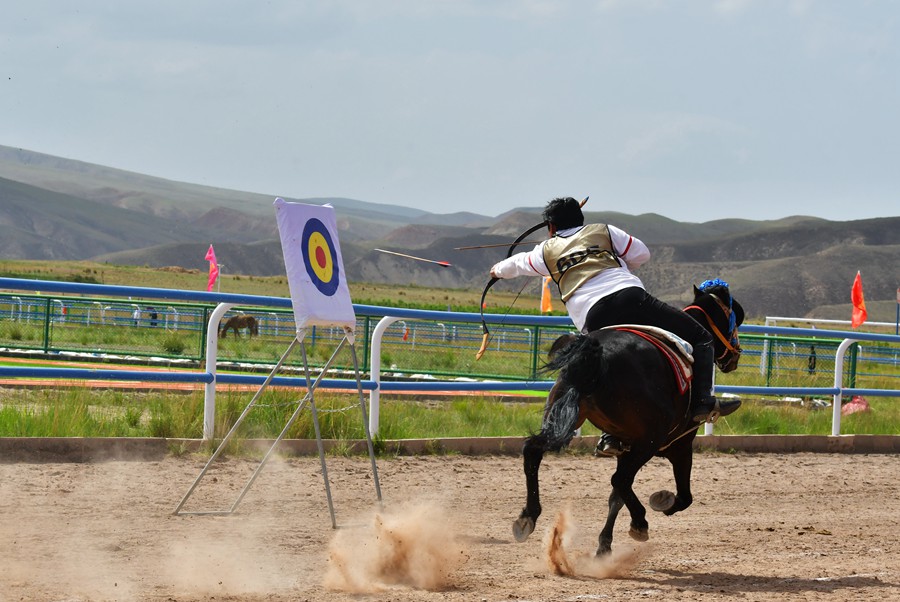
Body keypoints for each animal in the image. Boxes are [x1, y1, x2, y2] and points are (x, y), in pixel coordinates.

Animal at [512, 280, 744, 552]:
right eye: (732, 319)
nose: (736, 354)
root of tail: (597, 351)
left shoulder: (625, 446)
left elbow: (616, 498)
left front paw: (604, 545)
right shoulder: (679, 445)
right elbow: (683, 496)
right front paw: (661, 502)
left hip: (563, 419)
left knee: (533, 451)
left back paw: (527, 516)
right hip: (649, 440)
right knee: (621, 479)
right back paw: (641, 521)